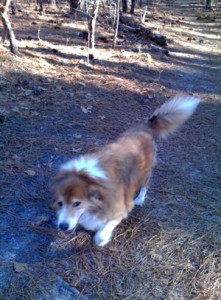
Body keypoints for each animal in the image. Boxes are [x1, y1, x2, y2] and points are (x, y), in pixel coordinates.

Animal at [52, 95, 200, 246]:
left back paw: (140, 199)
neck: (90, 177)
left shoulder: (120, 208)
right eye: (60, 203)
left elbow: (104, 231)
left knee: (145, 185)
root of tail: (146, 125)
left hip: (144, 171)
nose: (62, 226)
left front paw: (102, 239)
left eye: (77, 203)